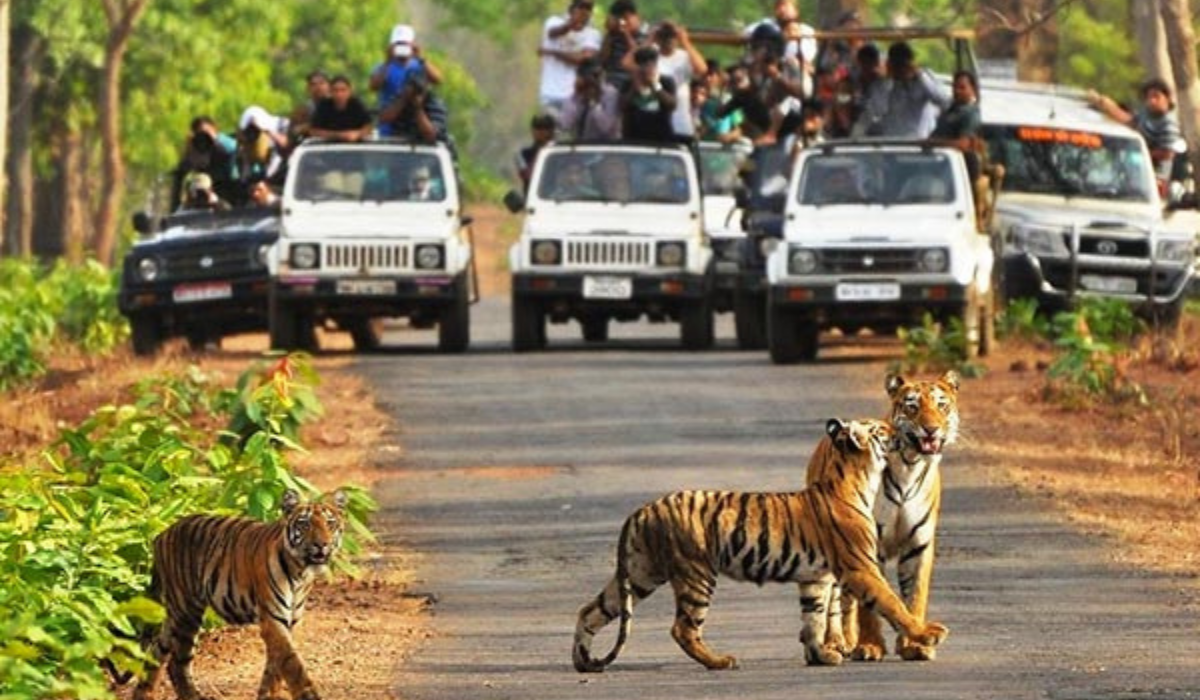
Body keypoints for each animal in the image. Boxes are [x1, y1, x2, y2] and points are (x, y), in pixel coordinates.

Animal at [131, 489, 346, 700]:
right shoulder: (273, 619)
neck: (300, 572)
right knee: (177, 663)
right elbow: (292, 664)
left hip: (175, 614)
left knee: (156, 652)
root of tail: (162, 533)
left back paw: (143, 694)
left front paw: (267, 695)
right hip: (187, 611)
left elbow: (275, 667)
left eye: (330, 523)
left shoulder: (291, 621)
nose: (322, 544)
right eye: (305, 524)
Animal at [571, 418, 949, 672]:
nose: (901, 429)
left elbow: (814, 618)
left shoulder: (816, 578)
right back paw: (720, 661)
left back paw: (583, 661)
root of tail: (642, 510)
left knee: (590, 610)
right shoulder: (861, 568)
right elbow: (893, 603)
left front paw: (820, 656)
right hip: (696, 573)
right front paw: (928, 634)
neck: (858, 478)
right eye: (882, 429)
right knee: (683, 628)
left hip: (640, 573)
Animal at [808, 371, 960, 663]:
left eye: (941, 405)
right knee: (835, 598)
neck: (910, 465)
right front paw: (870, 646)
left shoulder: (918, 544)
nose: (931, 429)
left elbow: (914, 596)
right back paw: (836, 643)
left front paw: (915, 645)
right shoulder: (869, 543)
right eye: (912, 406)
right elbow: (870, 604)